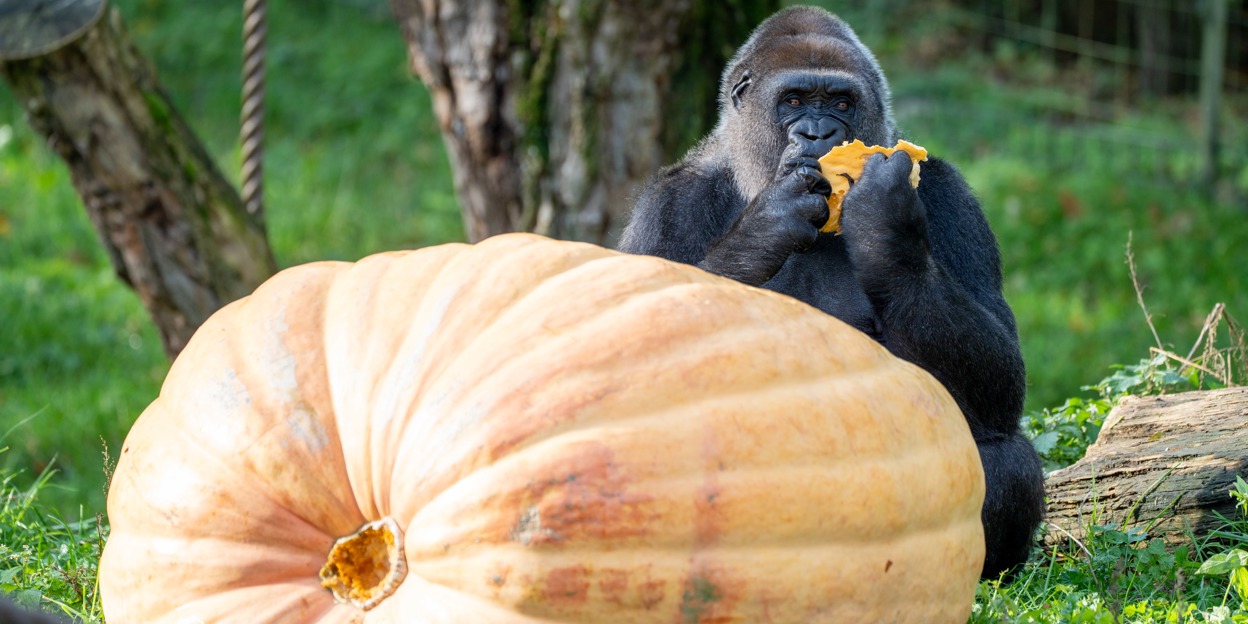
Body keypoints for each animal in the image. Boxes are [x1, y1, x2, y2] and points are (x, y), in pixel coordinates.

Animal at [618, 6, 1045, 579]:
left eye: (842, 103)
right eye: (795, 101)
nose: (820, 132)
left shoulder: (952, 197)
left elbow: (1001, 378)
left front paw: (886, 227)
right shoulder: (665, 203)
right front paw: (764, 228)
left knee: (1003, 454)